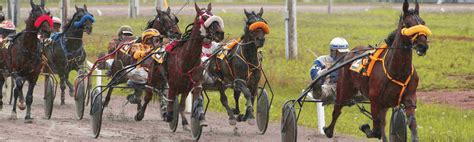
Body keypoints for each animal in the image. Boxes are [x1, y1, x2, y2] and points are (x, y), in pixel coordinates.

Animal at [164, 2, 225, 131]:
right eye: (205, 17)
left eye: (213, 14)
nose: (220, 33)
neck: (187, 59)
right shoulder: (173, 83)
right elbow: (171, 100)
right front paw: (170, 115)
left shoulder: (195, 82)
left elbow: (194, 97)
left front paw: (200, 119)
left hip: (185, 88)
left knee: (182, 103)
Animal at [324, 0, 432, 141]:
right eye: (408, 24)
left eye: (423, 23)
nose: (423, 46)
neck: (397, 71)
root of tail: (350, 52)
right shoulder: (375, 100)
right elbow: (376, 130)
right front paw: (365, 127)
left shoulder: (409, 99)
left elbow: (411, 124)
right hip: (344, 88)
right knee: (337, 108)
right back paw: (328, 130)